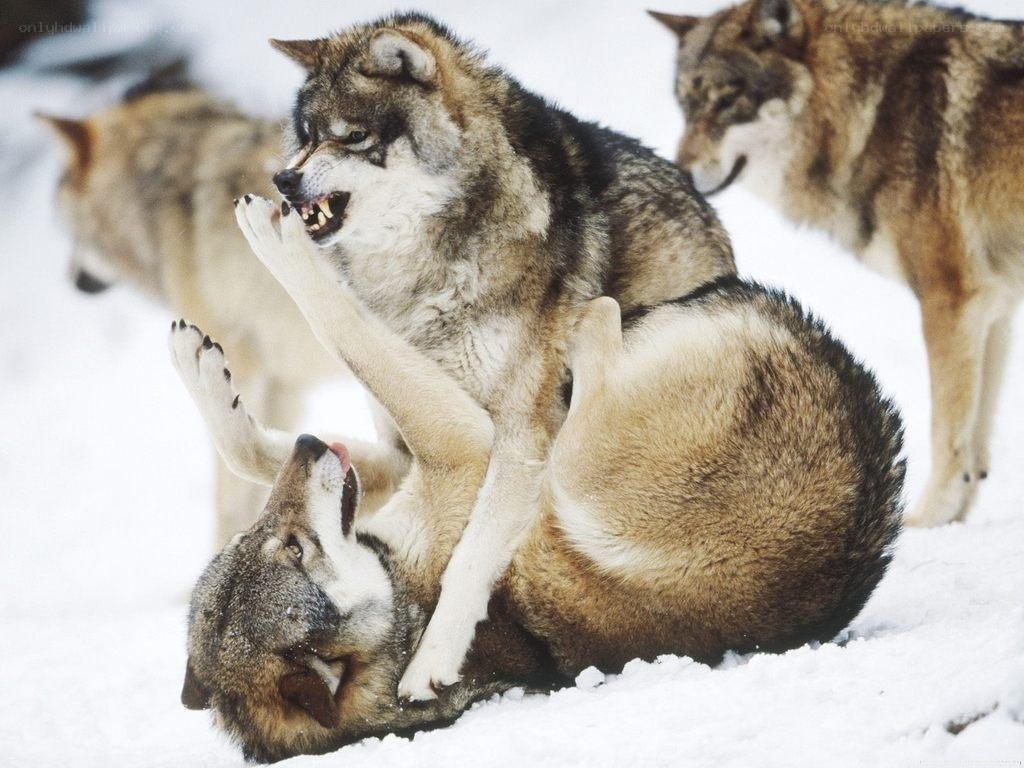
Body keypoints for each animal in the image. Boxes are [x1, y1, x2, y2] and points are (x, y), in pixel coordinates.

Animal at [169, 267, 904, 761]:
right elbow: (346, 328)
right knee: (595, 339)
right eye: (294, 548)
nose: (309, 443)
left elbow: (251, 449)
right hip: (578, 468)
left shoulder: (440, 461)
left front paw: (202, 369)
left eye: (268, 538)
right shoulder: (469, 448)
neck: (402, 598)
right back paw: (582, 329)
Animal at [235, 13, 735, 701]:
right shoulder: (404, 439)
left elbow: (468, 556)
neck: (422, 273)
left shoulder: (519, 438)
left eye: (353, 137)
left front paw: (429, 662)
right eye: (305, 137)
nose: (283, 179)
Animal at [650, 0, 1024, 527]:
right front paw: (953, 525)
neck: (870, 111)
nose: (679, 171)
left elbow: (947, 436)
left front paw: (924, 524)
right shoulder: (996, 306)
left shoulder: (951, 302)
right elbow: (975, 444)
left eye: (729, 101)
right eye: (686, 105)